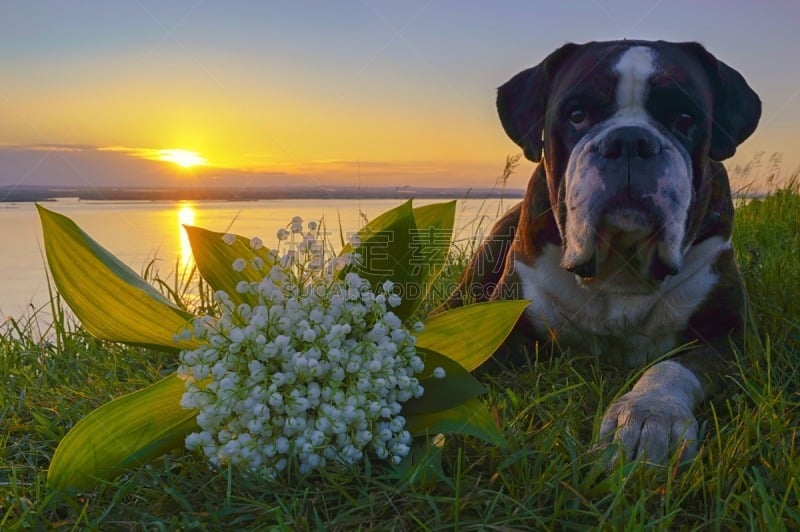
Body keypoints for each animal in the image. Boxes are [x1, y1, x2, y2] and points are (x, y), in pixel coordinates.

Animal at [446, 40, 760, 466]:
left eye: (684, 118)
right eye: (577, 115)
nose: (629, 141)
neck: (619, 269)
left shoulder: (727, 334)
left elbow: (674, 368)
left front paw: (647, 416)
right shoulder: (504, 324)